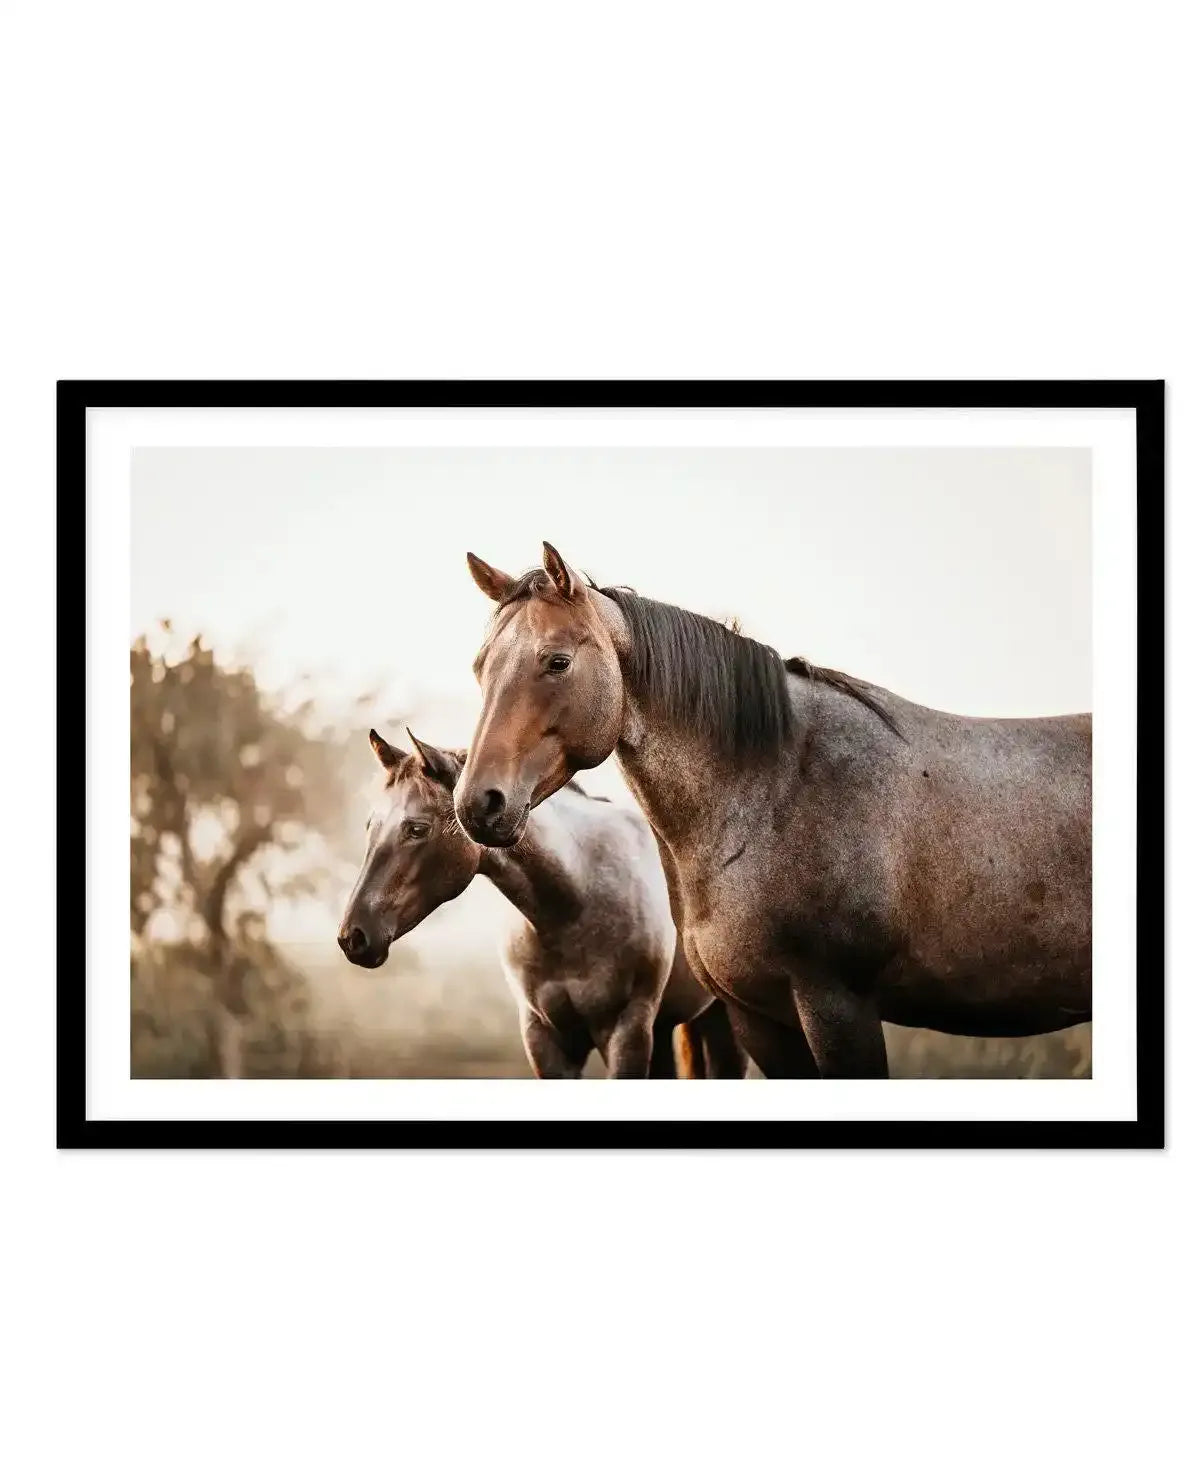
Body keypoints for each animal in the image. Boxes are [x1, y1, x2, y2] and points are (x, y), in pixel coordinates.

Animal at [337, 727, 746, 1079]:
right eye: (370, 826)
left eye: (417, 828)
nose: (352, 937)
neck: (574, 905)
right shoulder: (544, 1037)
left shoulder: (626, 1031)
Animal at [453, 542, 1092, 1078]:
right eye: (480, 667)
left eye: (557, 661)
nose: (478, 803)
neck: (776, 791)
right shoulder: (758, 1016)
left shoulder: (839, 1007)